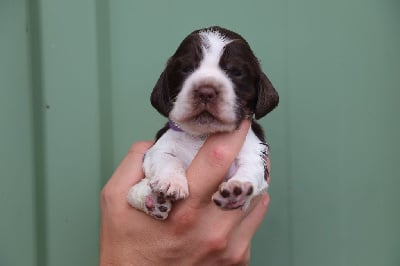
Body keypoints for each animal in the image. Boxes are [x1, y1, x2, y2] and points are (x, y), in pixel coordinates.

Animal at [127, 26, 278, 219]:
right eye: (186, 69)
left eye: (236, 72)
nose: (206, 91)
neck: (203, 135)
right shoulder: (159, 147)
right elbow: (166, 158)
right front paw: (171, 181)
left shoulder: (254, 151)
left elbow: (250, 169)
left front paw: (238, 189)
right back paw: (153, 201)